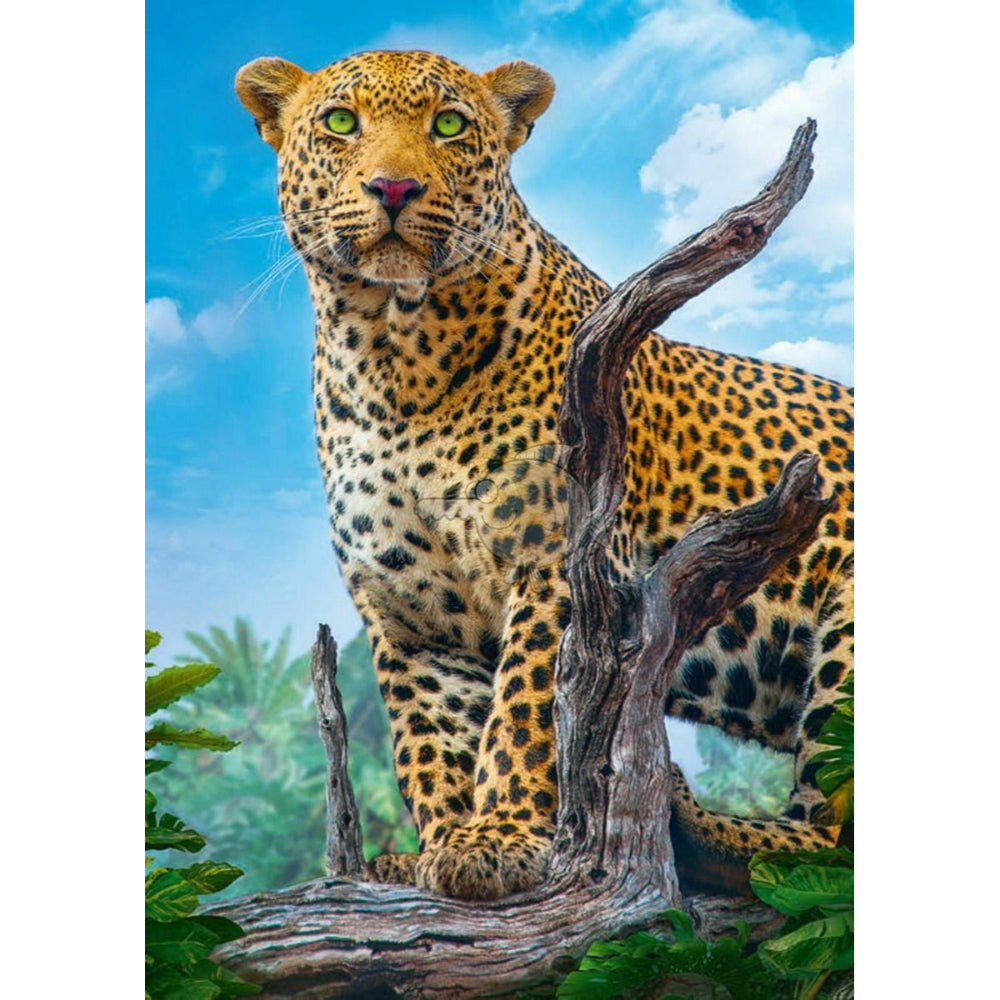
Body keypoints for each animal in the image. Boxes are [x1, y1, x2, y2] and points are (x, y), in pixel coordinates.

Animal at [235, 49, 853, 901]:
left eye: (449, 124)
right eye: (339, 122)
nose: (393, 188)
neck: (393, 356)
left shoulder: (560, 564)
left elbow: (527, 711)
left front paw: (501, 835)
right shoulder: (408, 613)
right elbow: (430, 741)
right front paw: (438, 847)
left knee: (829, 839)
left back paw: (691, 822)